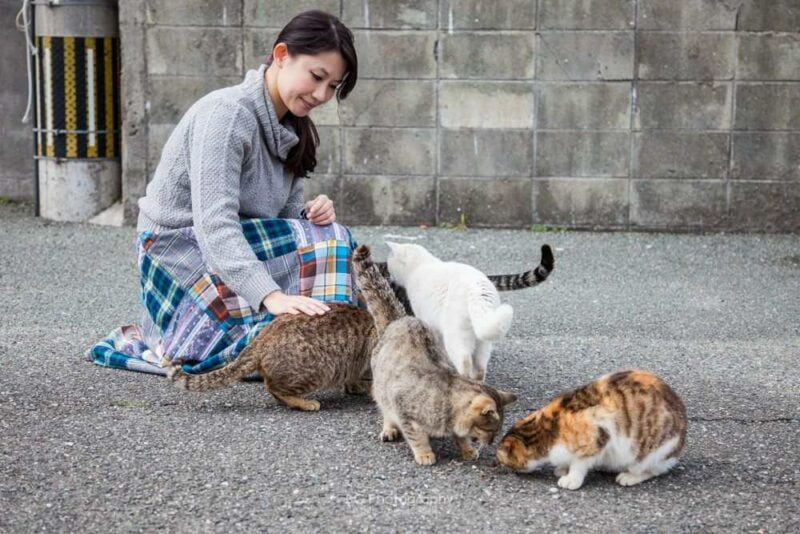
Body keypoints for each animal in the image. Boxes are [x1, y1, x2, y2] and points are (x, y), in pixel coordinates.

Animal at [384, 243, 516, 386]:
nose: (390, 278)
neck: (419, 266)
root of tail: (476, 287)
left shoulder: (427, 321)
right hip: (483, 340)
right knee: (480, 368)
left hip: (456, 335)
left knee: (464, 361)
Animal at [494, 372, 688, 490]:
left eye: (504, 462)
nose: (507, 470)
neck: (548, 430)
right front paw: (562, 468)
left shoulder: (597, 436)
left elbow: (579, 464)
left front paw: (571, 478)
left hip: (651, 452)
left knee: (653, 470)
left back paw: (629, 477)